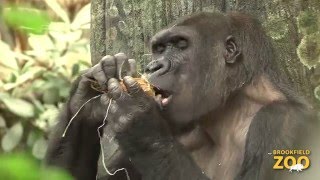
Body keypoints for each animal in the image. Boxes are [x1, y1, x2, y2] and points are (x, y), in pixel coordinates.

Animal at [44, 11, 318, 179]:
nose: (153, 66)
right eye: (159, 49)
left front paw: (139, 121)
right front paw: (88, 96)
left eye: (180, 45)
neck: (229, 108)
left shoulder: (283, 123)